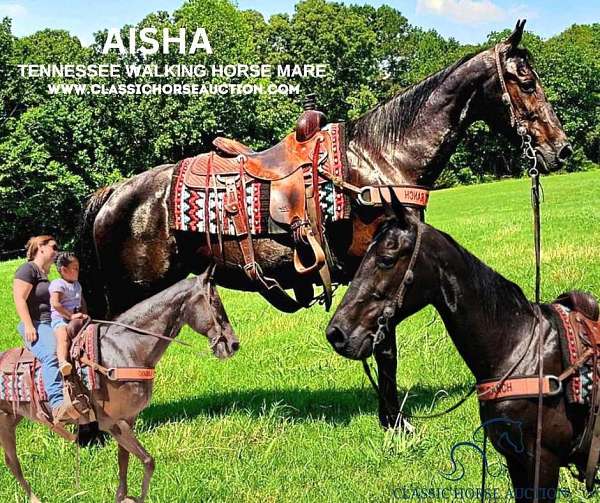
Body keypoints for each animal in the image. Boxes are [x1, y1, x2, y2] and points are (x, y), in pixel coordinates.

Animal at [0, 270, 239, 502]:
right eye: (215, 301)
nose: (233, 344)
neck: (126, 349)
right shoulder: (112, 422)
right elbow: (148, 461)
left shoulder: (128, 419)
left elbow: (124, 461)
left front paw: (124, 496)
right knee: (13, 463)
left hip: (11, 420)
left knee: (12, 462)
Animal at [81, 22, 572, 434]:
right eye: (526, 82)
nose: (562, 149)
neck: (379, 161)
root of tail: (114, 192)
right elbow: (386, 348)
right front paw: (395, 423)